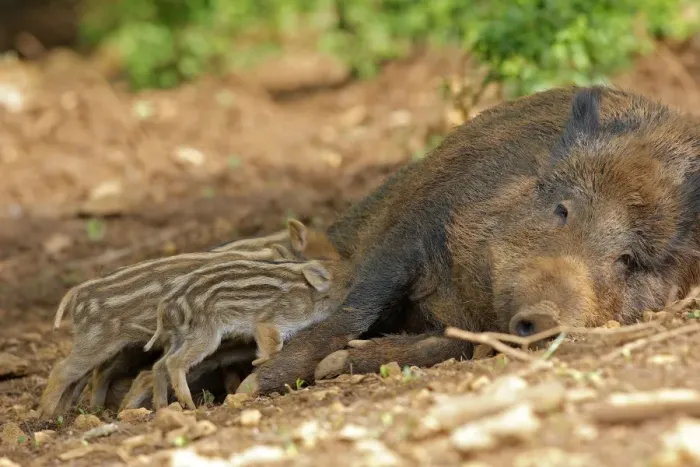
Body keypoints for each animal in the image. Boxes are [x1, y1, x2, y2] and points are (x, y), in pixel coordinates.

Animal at [237, 85, 700, 396]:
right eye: (562, 209)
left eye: (629, 258)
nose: (544, 315)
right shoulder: (417, 227)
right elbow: (357, 307)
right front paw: (250, 386)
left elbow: (451, 344)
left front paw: (331, 368)